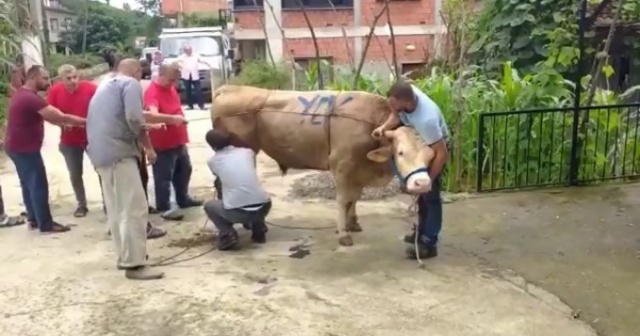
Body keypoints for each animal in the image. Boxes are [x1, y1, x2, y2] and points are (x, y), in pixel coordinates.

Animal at [211, 85, 436, 245]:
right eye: (401, 152)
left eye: (430, 154)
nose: (423, 184)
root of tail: (230, 87)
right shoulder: (342, 166)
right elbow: (343, 200)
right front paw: (343, 232)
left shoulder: (358, 171)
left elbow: (354, 199)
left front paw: (353, 223)